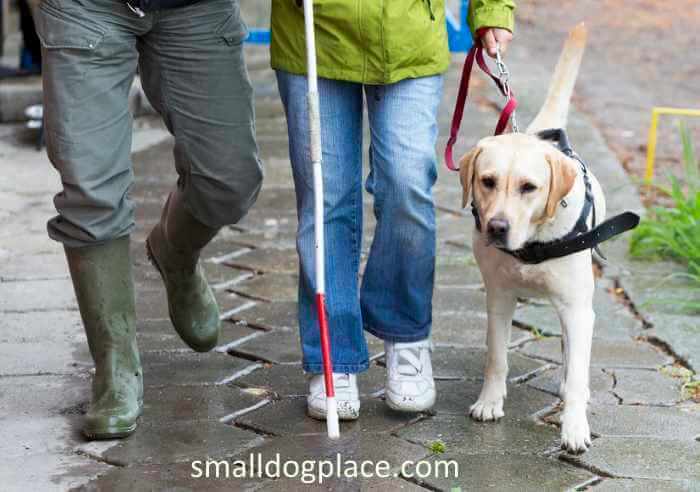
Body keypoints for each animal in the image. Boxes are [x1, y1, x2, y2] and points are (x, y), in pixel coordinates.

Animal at [456, 24, 604, 454]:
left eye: (529, 187)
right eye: (487, 181)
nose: (497, 227)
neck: (532, 243)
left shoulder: (576, 307)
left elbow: (577, 373)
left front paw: (574, 426)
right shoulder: (498, 297)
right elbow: (496, 357)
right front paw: (490, 402)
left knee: (573, 355)